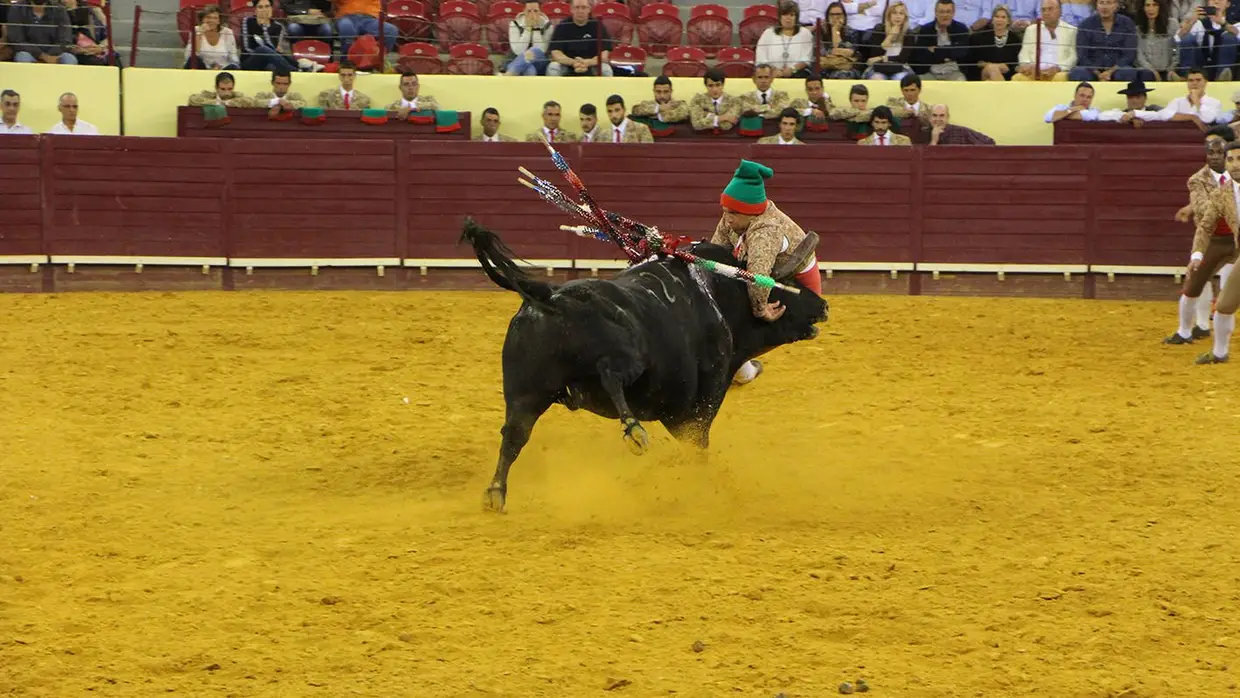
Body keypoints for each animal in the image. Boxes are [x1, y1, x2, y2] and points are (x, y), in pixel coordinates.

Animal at [461, 219, 828, 513]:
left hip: (524, 392)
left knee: (514, 435)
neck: (721, 294)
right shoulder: (703, 401)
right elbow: (699, 445)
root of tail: (549, 296)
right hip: (628, 356)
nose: (823, 305)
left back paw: (495, 493)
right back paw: (634, 431)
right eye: (787, 284)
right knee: (611, 375)